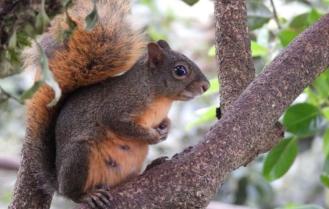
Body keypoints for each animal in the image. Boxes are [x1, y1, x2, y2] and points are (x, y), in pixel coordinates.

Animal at [22, 0, 208, 209]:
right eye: (180, 70)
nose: (206, 86)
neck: (161, 98)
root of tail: (58, 181)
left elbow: (165, 121)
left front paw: (166, 127)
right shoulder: (116, 108)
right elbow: (121, 125)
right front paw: (153, 136)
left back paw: (152, 166)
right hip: (79, 155)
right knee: (72, 192)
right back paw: (86, 196)